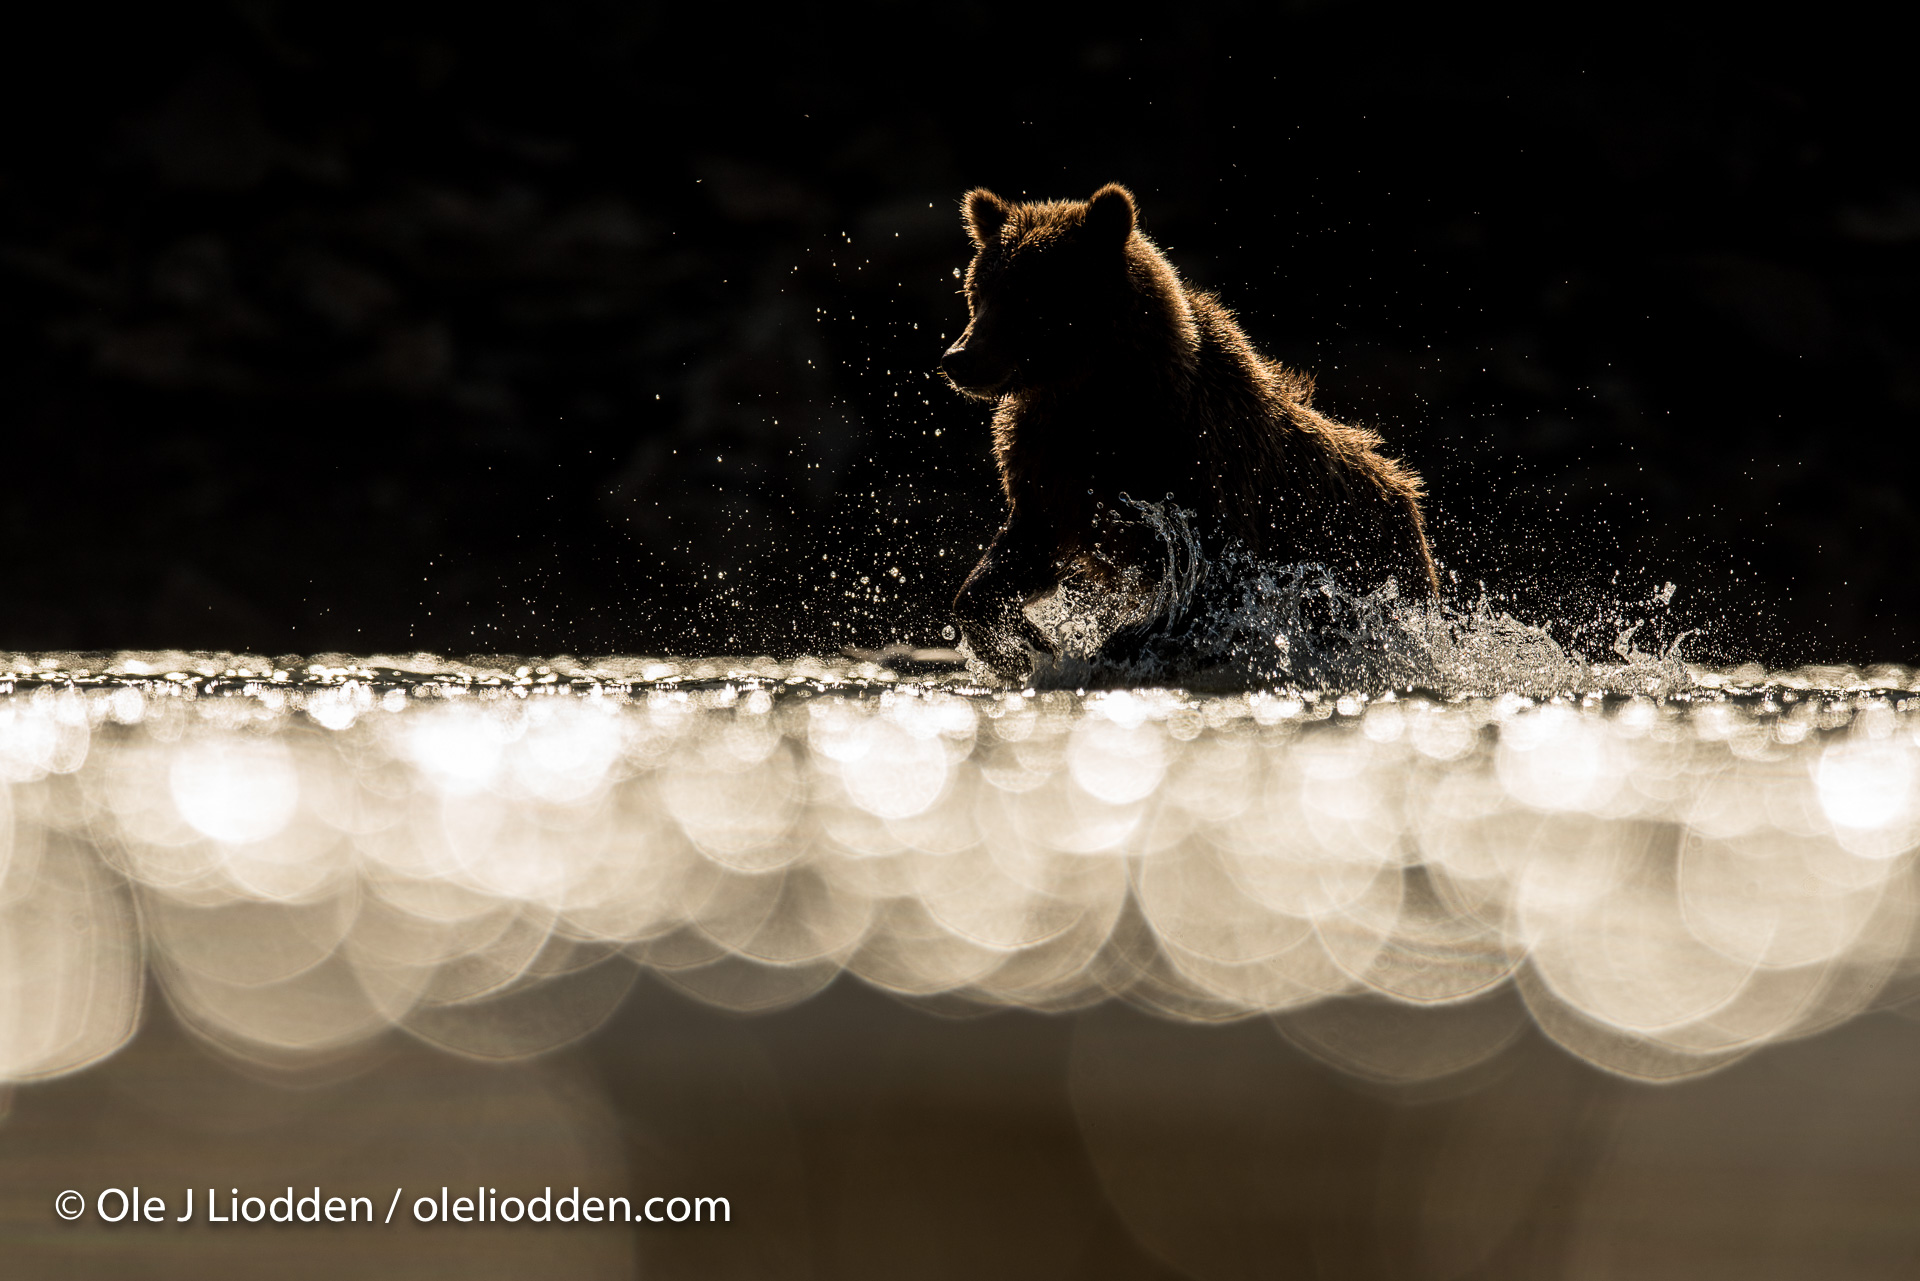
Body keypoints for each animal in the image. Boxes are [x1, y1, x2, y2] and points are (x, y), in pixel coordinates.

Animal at [936, 182, 1436, 679]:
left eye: (1028, 296)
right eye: (978, 290)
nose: (959, 358)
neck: (1095, 395)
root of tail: (1407, 492)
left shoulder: (1200, 473)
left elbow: (1213, 587)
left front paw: (1111, 648)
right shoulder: (1049, 471)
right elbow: (1015, 556)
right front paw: (1020, 646)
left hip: (1366, 564)